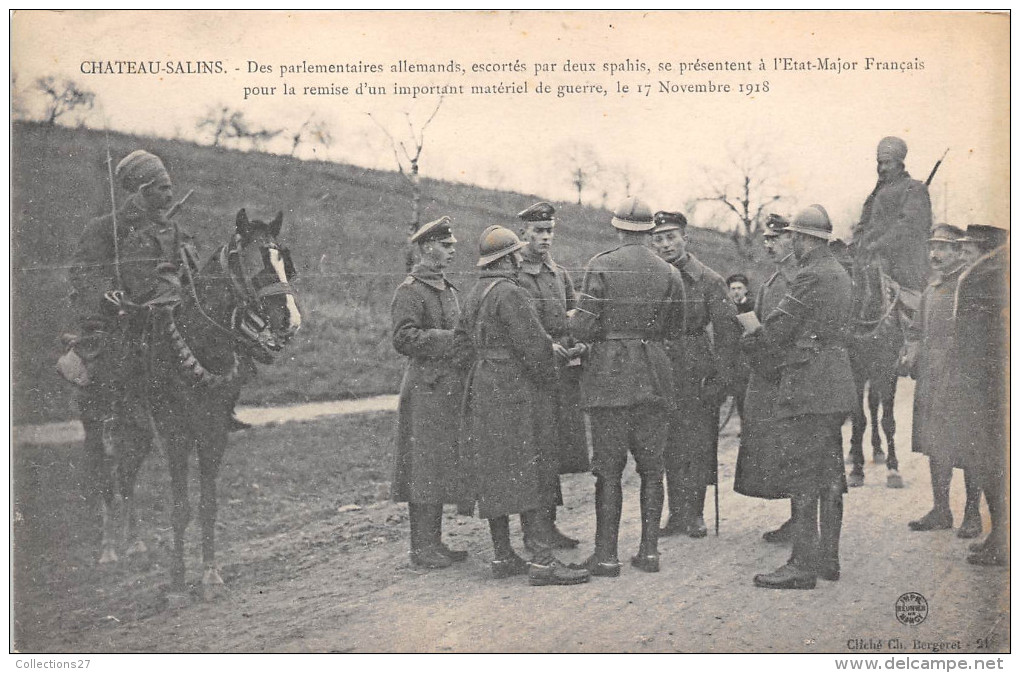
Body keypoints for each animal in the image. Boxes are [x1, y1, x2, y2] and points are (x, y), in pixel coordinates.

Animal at [88, 208, 297, 595]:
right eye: (254, 261)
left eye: (284, 262)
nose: (291, 321)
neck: (200, 341)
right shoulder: (176, 434)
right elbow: (180, 507)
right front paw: (176, 581)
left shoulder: (214, 431)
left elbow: (207, 504)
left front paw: (211, 574)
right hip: (100, 427)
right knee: (107, 479)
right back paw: (109, 549)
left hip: (139, 433)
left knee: (125, 477)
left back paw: (134, 544)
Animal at [844, 253, 909, 489]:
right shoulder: (856, 371)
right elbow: (858, 419)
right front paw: (856, 470)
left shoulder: (888, 369)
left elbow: (888, 421)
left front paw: (893, 469)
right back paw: (853, 452)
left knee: (873, 404)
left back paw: (878, 450)